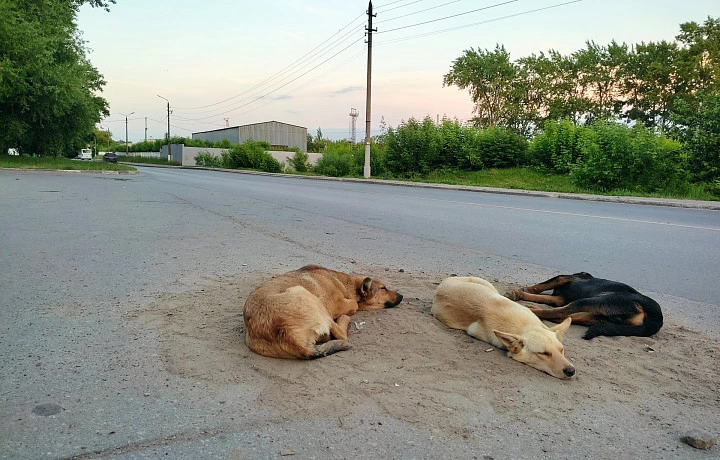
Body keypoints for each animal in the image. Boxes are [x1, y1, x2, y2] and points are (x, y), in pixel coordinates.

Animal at [243, 266, 402, 360]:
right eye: (383, 288)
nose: (401, 296)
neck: (345, 283)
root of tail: (286, 333)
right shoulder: (339, 303)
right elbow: (354, 304)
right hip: (305, 294)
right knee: (341, 334)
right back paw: (344, 319)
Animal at [506, 274, 664, 338]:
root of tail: (657, 315)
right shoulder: (559, 299)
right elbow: (542, 294)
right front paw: (520, 294)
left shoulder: (564, 278)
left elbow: (540, 286)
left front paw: (521, 292)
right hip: (597, 315)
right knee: (566, 316)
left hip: (595, 300)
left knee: (559, 313)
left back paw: (531, 310)